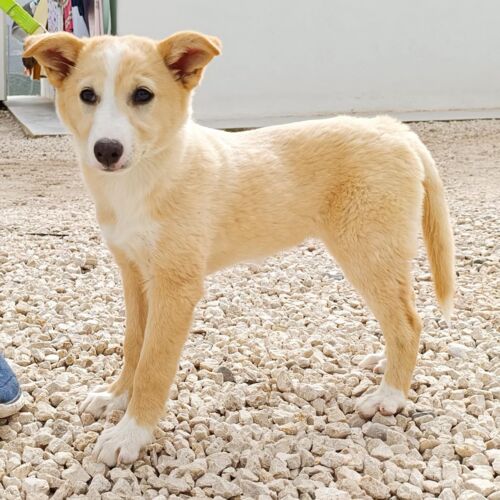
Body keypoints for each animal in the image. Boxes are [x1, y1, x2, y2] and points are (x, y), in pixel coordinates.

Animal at [24, 31, 454, 466]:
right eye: (88, 95)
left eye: (142, 95)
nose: (107, 150)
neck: (152, 173)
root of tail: (394, 129)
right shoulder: (134, 274)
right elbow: (134, 345)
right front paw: (115, 397)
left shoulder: (176, 287)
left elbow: (154, 365)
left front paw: (131, 432)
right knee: (400, 320)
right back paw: (386, 363)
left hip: (368, 251)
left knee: (408, 323)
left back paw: (390, 395)